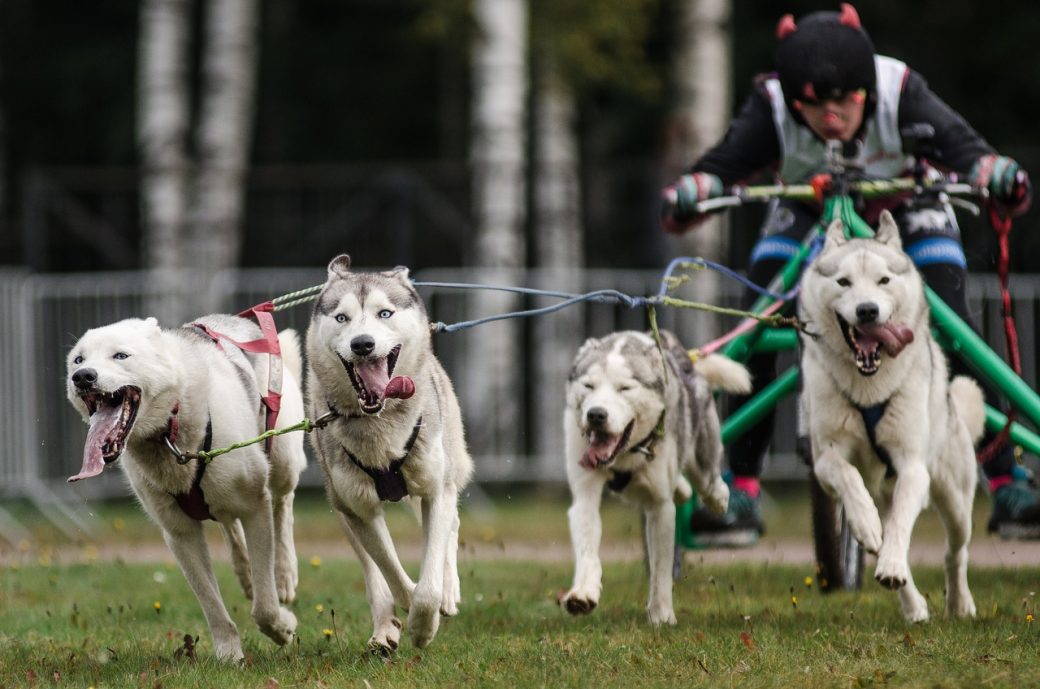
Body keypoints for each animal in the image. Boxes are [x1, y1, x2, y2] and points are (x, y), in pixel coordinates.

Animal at [66, 316, 303, 666]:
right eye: (78, 359)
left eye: (120, 355)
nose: (82, 376)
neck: (169, 430)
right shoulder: (180, 534)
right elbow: (212, 605)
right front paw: (229, 654)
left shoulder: (254, 507)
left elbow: (264, 606)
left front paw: (282, 628)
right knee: (230, 527)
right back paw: (245, 572)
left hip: (282, 461)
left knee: (283, 507)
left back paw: (284, 574)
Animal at [303, 256, 476, 657]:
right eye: (342, 317)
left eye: (385, 313)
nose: (363, 344)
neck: (378, 421)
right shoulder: (359, 509)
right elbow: (391, 571)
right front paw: (410, 611)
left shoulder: (434, 491)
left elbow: (429, 581)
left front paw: (425, 623)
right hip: (342, 511)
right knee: (374, 577)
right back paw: (384, 629)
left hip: (448, 467)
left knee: (452, 528)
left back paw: (448, 592)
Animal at [561, 333, 748, 628]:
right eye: (588, 385)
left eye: (625, 388)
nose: (596, 414)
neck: (624, 456)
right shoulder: (584, 495)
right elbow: (588, 549)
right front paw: (582, 594)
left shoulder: (660, 506)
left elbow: (661, 568)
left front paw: (661, 615)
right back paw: (683, 489)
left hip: (701, 451)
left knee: (709, 482)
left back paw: (718, 498)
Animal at [794, 208, 981, 624]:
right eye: (843, 281)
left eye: (883, 280)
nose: (867, 310)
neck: (869, 387)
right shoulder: (825, 458)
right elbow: (848, 478)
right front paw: (864, 523)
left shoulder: (912, 466)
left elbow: (899, 528)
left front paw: (894, 563)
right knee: (885, 536)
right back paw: (912, 604)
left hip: (956, 500)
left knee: (955, 552)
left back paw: (959, 603)